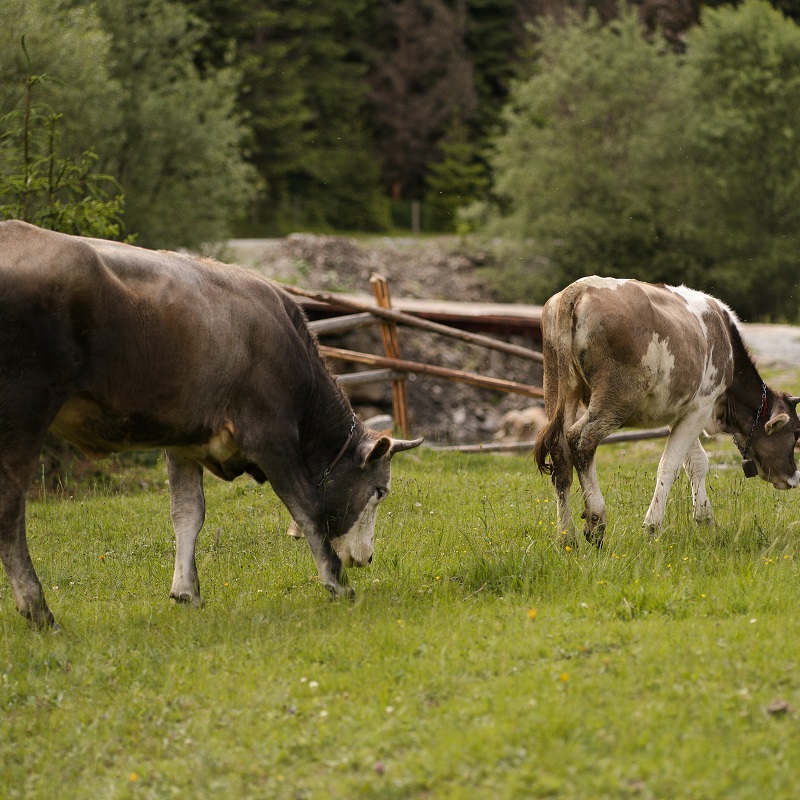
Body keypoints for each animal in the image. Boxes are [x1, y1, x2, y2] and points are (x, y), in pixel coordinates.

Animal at [0, 221, 423, 629]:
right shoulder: (271, 434)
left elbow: (188, 512)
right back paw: (39, 612)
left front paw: (186, 592)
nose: (367, 559)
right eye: (380, 491)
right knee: (10, 511)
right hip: (23, 411)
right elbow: (307, 507)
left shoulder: (184, 441)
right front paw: (339, 584)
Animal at [533, 276, 800, 547]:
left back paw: (566, 536)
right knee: (581, 440)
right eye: (796, 433)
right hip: (616, 397)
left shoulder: (681, 412)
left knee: (560, 453)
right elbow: (669, 465)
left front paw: (705, 519)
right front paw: (653, 526)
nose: (793, 477)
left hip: (559, 388)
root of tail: (580, 287)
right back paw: (596, 521)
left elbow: (697, 463)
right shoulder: (701, 408)